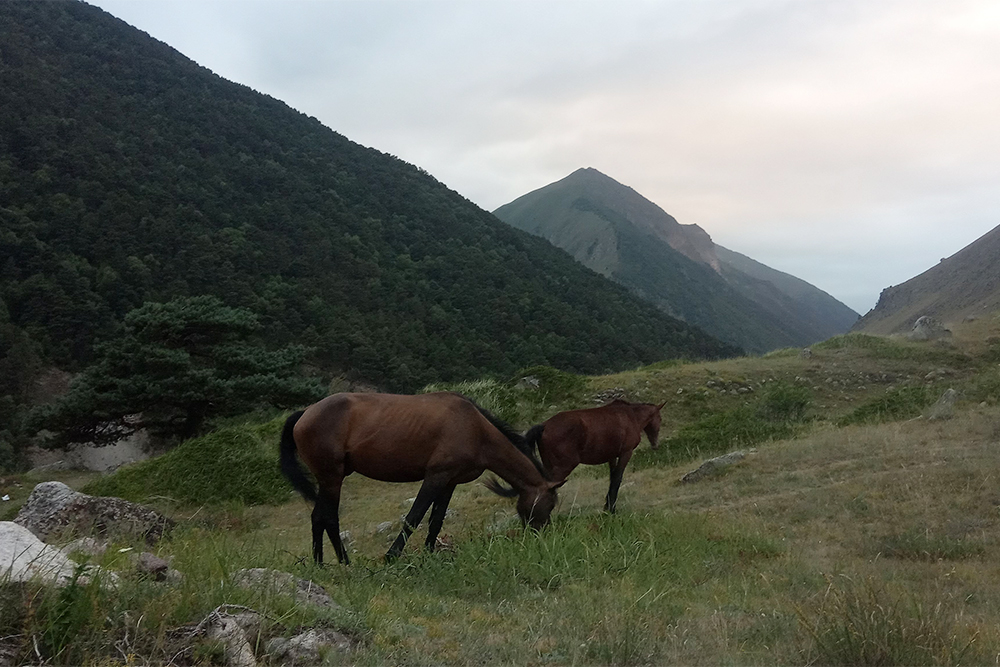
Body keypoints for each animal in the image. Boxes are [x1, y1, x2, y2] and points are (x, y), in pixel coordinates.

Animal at [282, 394, 564, 568]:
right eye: (549, 505)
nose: (541, 535)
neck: (475, 429)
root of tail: (305, 412)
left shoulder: (449, 481)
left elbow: (436, 521)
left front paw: (429, 555)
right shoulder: (435, 477)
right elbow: (414, 517)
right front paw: (392, 556)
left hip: (329, 479)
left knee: (319, 517)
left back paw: (322, 563)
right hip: (332, 478)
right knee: (328, 518)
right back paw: (342, 562)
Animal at [524, 400, 664, 516]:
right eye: (660, 419)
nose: (655, 445)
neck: (631, 416)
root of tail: (544, 426)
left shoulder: (611, 456)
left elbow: (612, 478)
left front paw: (607, 507)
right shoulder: (626, 453)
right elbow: (617, 479)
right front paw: (612, 509)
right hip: (562, 467)